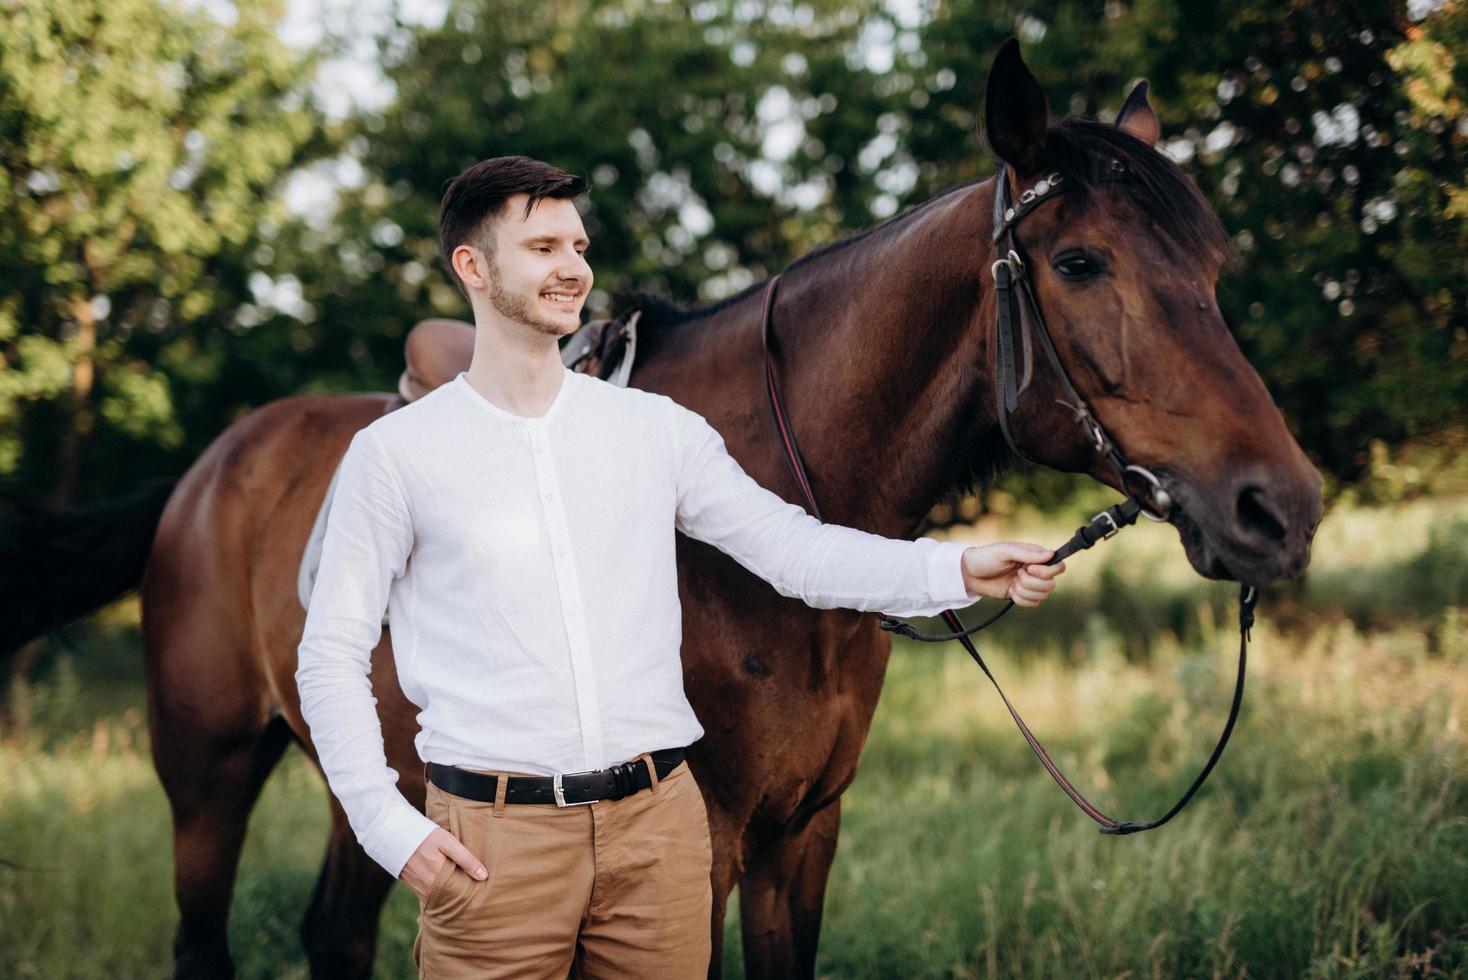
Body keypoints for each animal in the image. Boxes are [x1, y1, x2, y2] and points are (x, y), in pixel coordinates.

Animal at [8, 42, 1321, 974]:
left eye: (1210, 267)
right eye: (1082, 263)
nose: (1281, 508)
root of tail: (208, 470)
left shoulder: (803, 832)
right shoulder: (707, 841)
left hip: (377, 787)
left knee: (337, 928)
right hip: (208, 779)